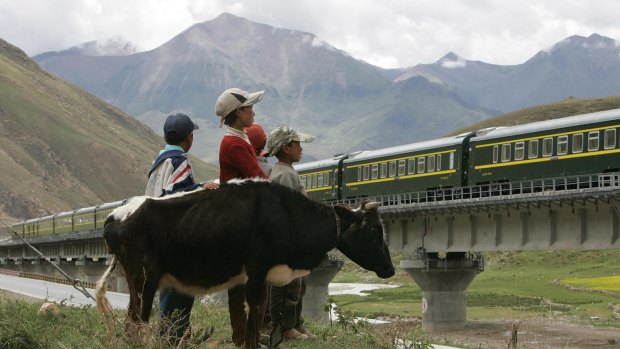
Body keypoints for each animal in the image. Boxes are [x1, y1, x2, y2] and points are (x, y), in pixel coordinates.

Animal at [95, 178, 398, 346]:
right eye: (374, 230)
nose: (390, 269)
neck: (287, 215)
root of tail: (115, 215)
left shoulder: (257, 278)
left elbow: (255, 312)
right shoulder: (256, 271)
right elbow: (254, 314)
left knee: (132, 320)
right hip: (143, 279)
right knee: (136, 320)